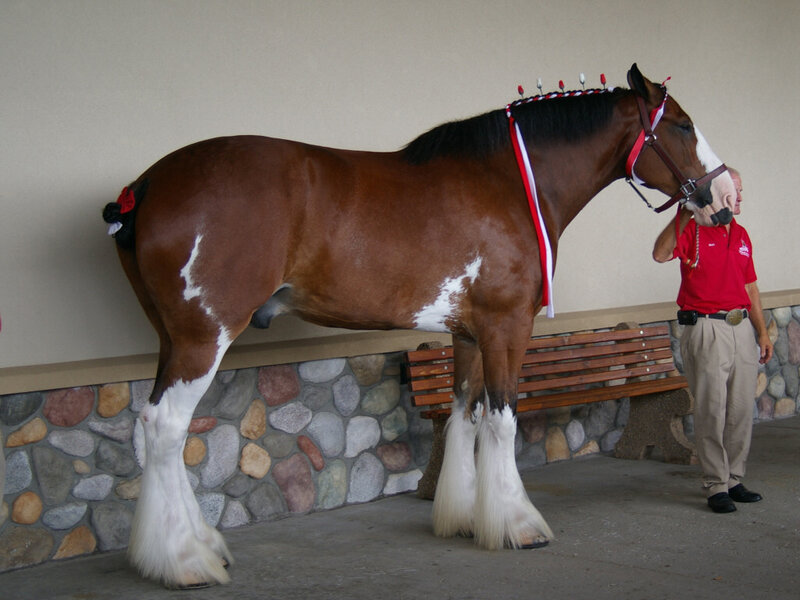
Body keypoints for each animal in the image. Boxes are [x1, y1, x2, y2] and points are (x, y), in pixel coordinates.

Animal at [103, 64, 736, 588]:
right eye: (682, 125)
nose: (723, 196)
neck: (510, 182)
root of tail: (146, 187)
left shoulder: (467, 332)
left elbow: (464, 416)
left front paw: (464, 517)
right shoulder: (507, 326)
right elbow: (501, 421)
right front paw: (518, 523)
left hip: (171, 339)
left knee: (158, 431)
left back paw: (196, 545)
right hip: (202, 338)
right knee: (165, 428)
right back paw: (186, 562)